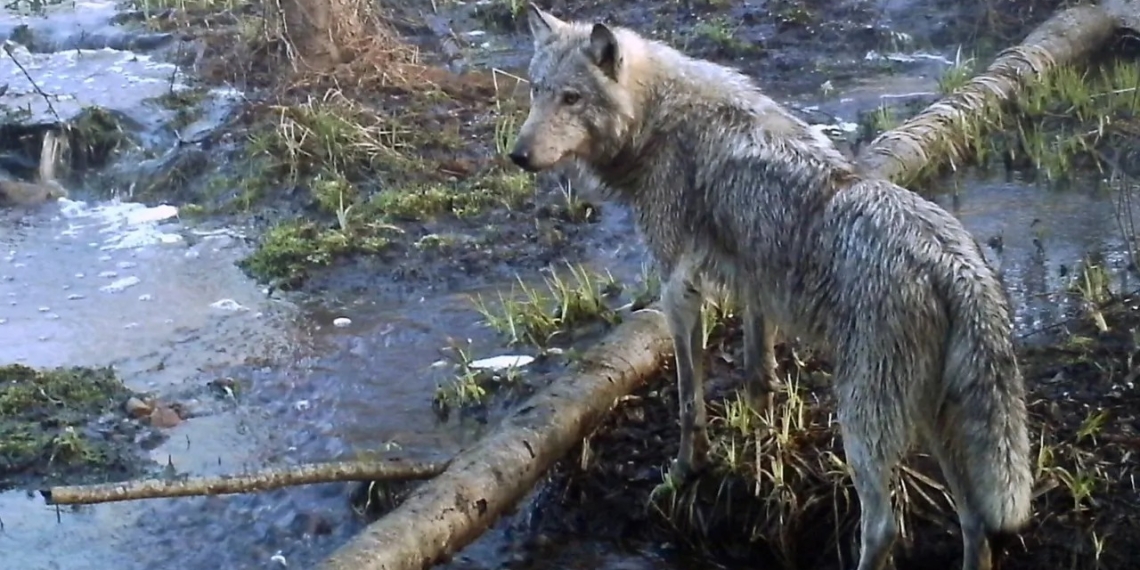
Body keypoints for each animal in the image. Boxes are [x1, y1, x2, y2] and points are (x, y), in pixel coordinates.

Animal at [508, 4, 1033, 570]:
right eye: (536, 90)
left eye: (571, 98)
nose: (517, 155)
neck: (658, 120)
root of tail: (954, 264)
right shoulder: (753, 281)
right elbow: (757, 372)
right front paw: (756, 442)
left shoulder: (678, 288)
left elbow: (689, 402)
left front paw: (684, 473)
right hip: (937, 424)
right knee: (975, 522)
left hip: (864, 425)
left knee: (883, 528)